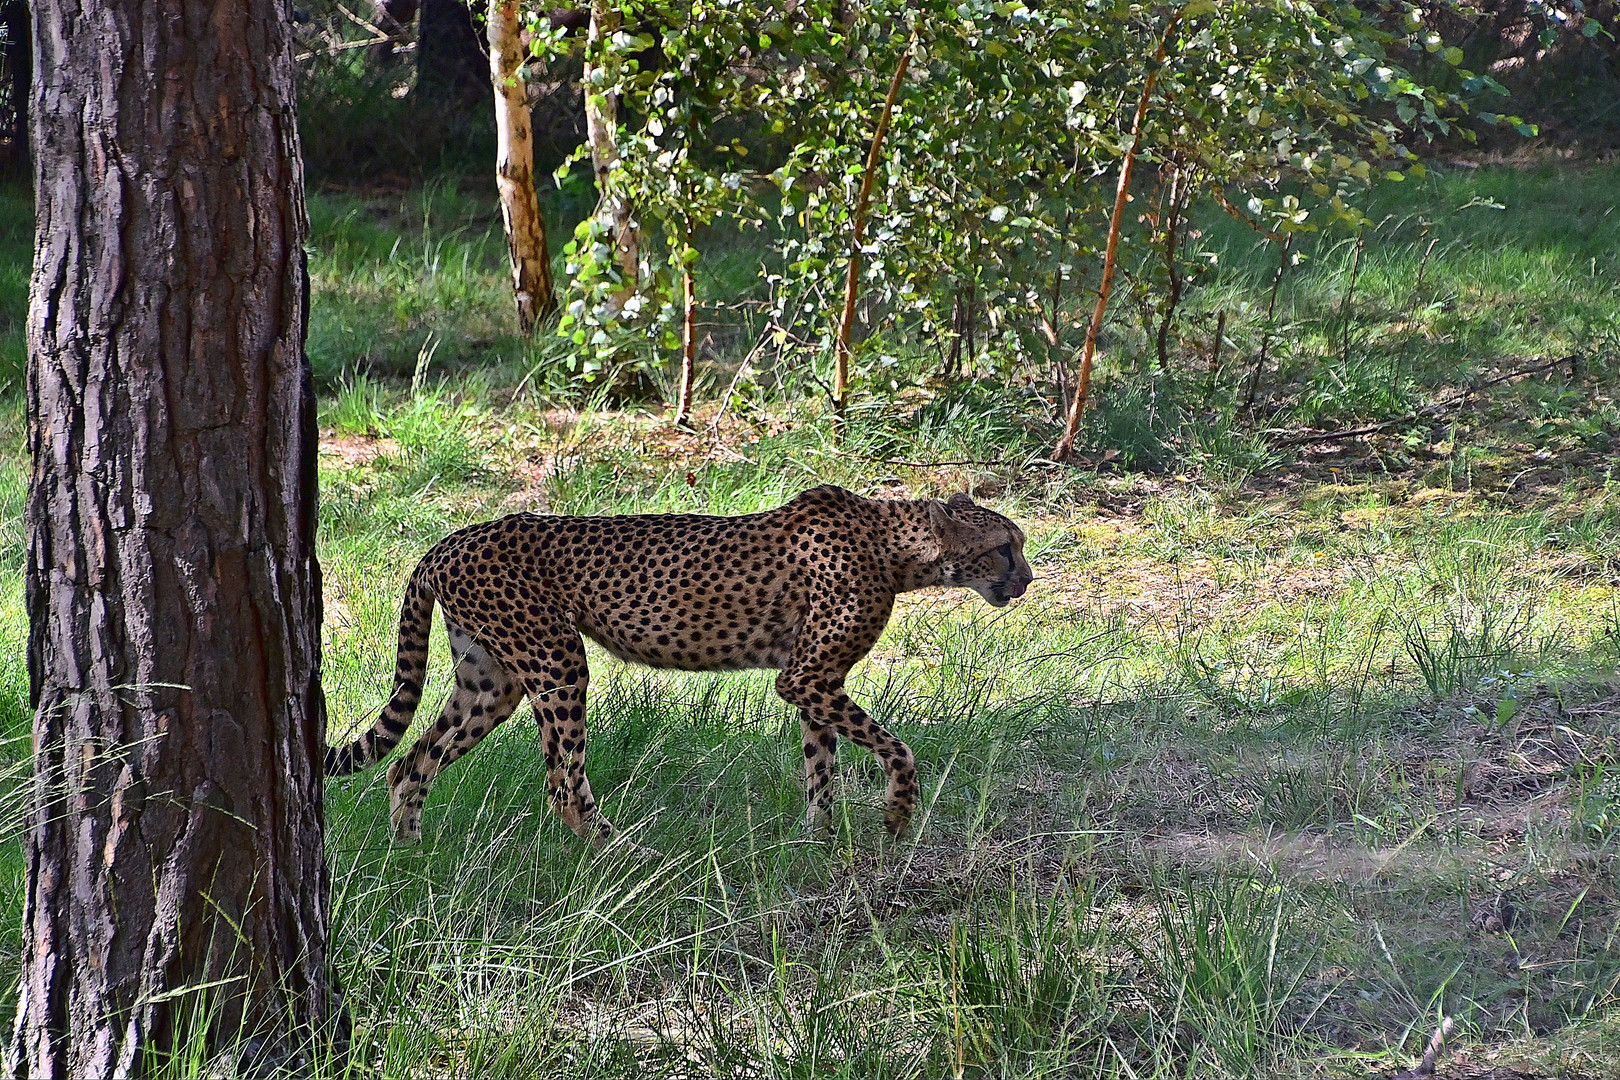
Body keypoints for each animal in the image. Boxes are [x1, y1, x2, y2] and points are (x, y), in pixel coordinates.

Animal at [327, 485, 1030, 848]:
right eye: (1004, 547)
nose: (1025, 579)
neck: (893, 545)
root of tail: (451, 539)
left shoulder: (815, 681)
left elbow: (820, 767)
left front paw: (822, 843)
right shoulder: (804, 677)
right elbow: (900, 749)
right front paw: (897, 817)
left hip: (490, 680)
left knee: (411, 762)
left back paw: (409, 852)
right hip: (557, 661)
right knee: (561, 782)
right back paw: (616, 854)